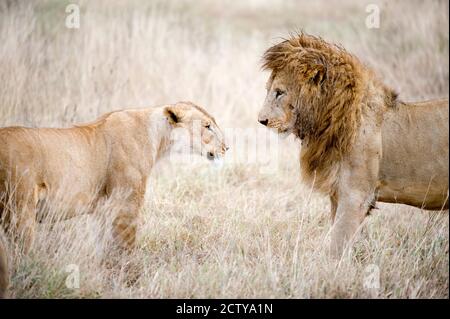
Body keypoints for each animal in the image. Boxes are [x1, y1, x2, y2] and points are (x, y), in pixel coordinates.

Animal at [0, 102, 227, 255]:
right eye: (207, 126)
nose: (227, 147)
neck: (157, 136)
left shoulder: (103, 209)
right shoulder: (126, 203)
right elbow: (125, 247)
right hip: (20, 211)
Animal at [258, 33, 448, 258]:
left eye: (279, 92)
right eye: (268, 90)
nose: (261, 121)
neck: (329, 120)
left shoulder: (355, 196)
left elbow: (337, 246)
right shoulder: (337, 194)